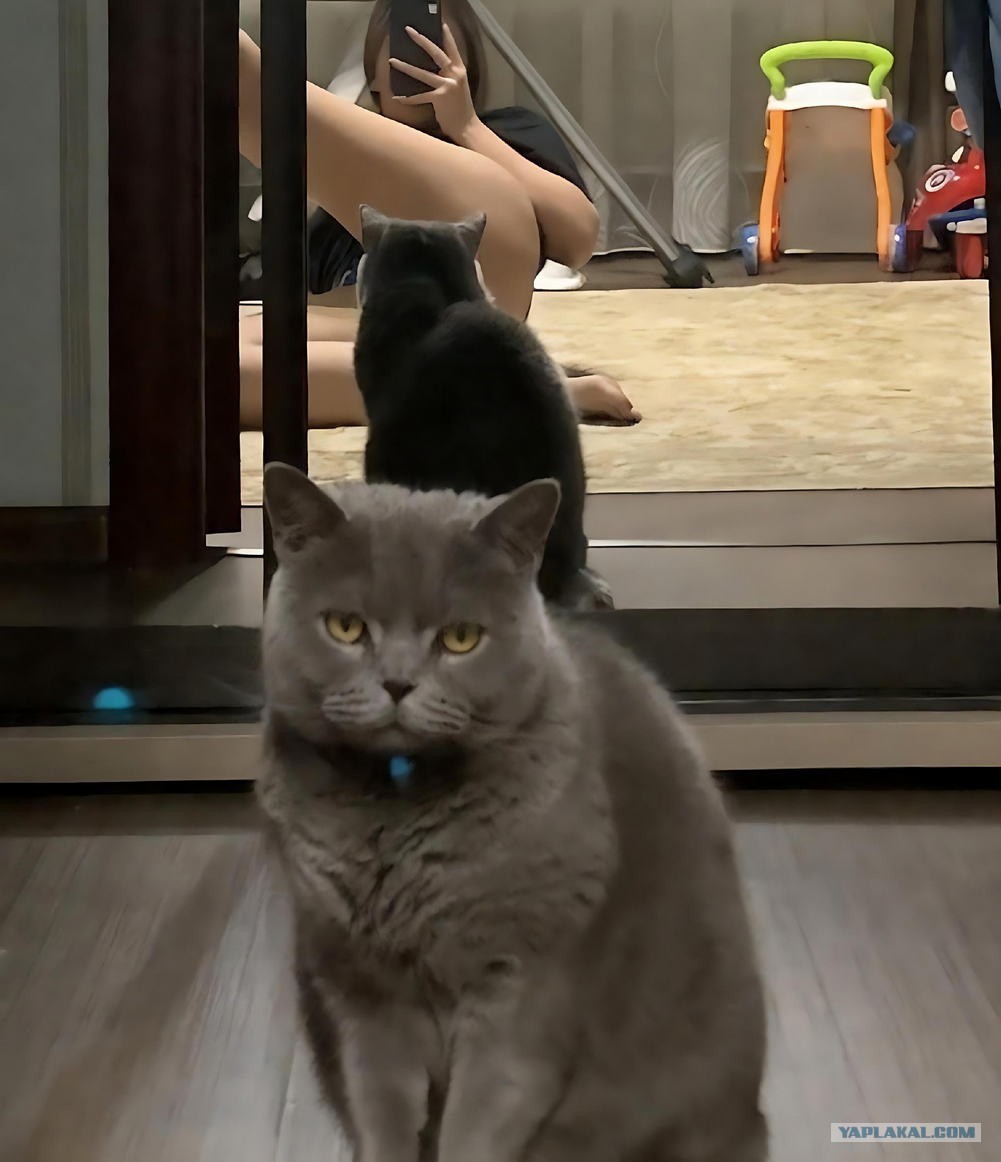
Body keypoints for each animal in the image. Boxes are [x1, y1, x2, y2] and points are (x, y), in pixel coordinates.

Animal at [259, 462, 768, 1162]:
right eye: (345, 628)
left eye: (461, 638)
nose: (397, 683)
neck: (395, 821)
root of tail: (752, 1120)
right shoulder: (359, 990)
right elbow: (380, 1113)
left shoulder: (521, 983)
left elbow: (475, 1131)